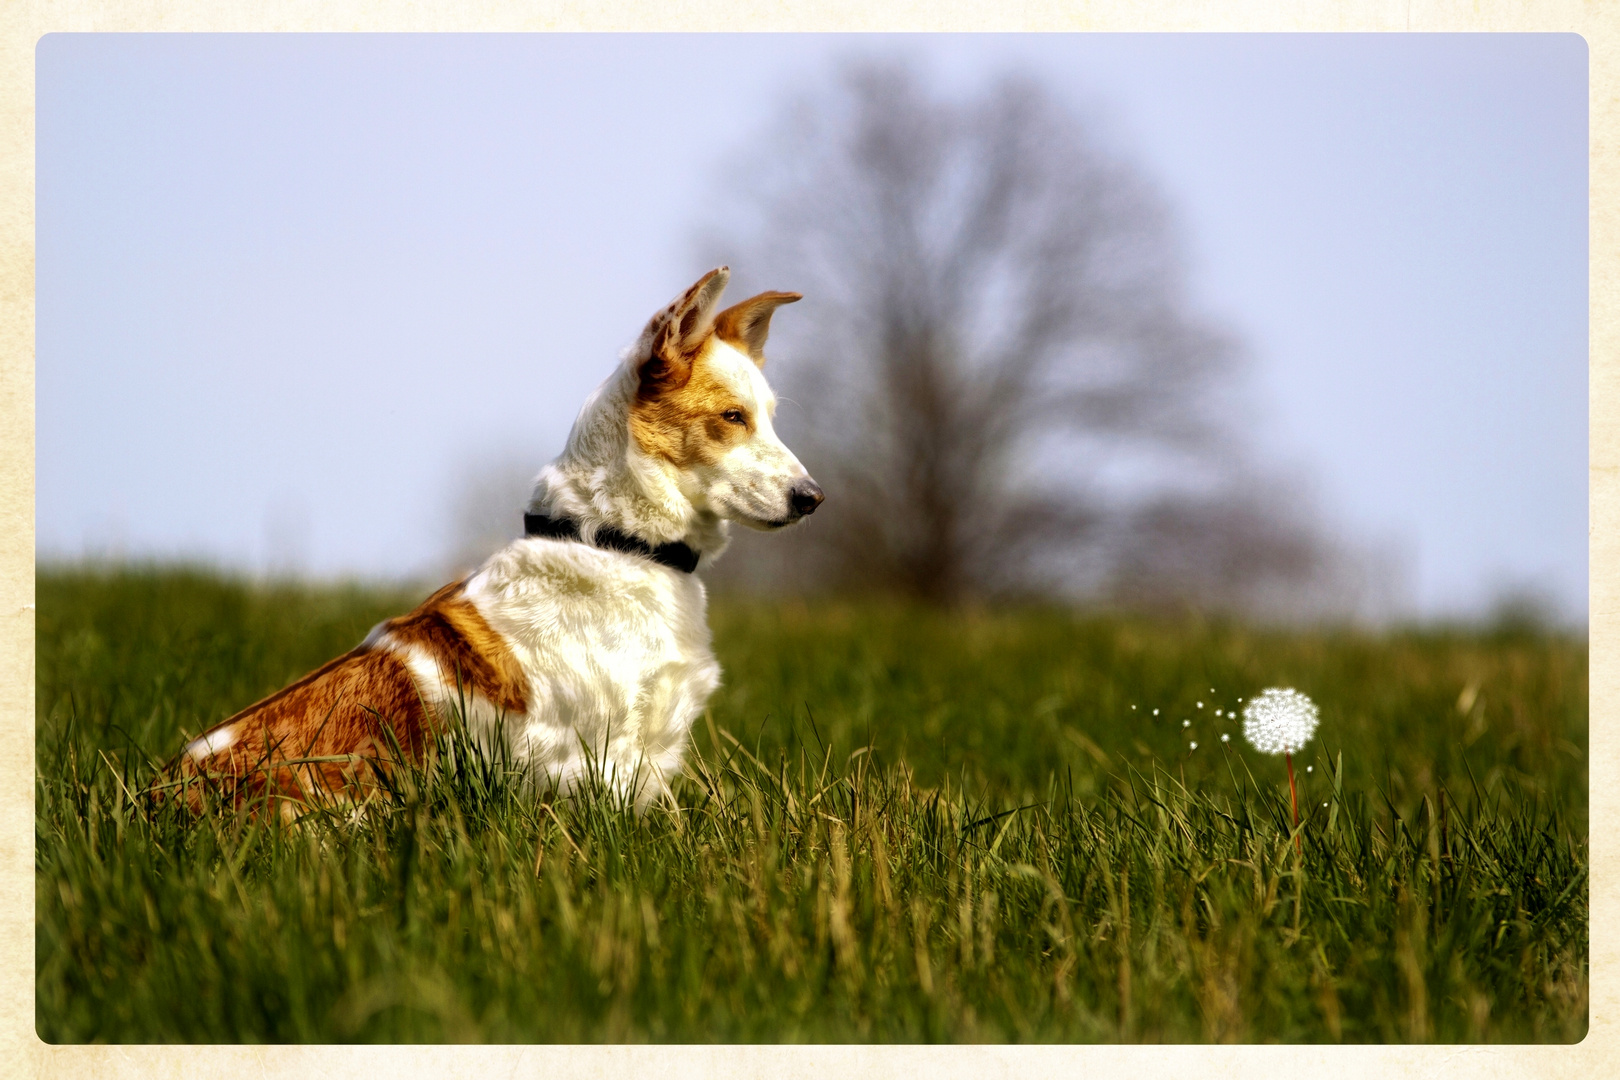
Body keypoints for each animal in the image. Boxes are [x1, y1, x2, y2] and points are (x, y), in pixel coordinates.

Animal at [166, 270, 822, 819]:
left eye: (769, 417)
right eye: (732, 417)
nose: (813, 498)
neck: (617, 543)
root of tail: (155, 802)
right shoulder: (598, 765)